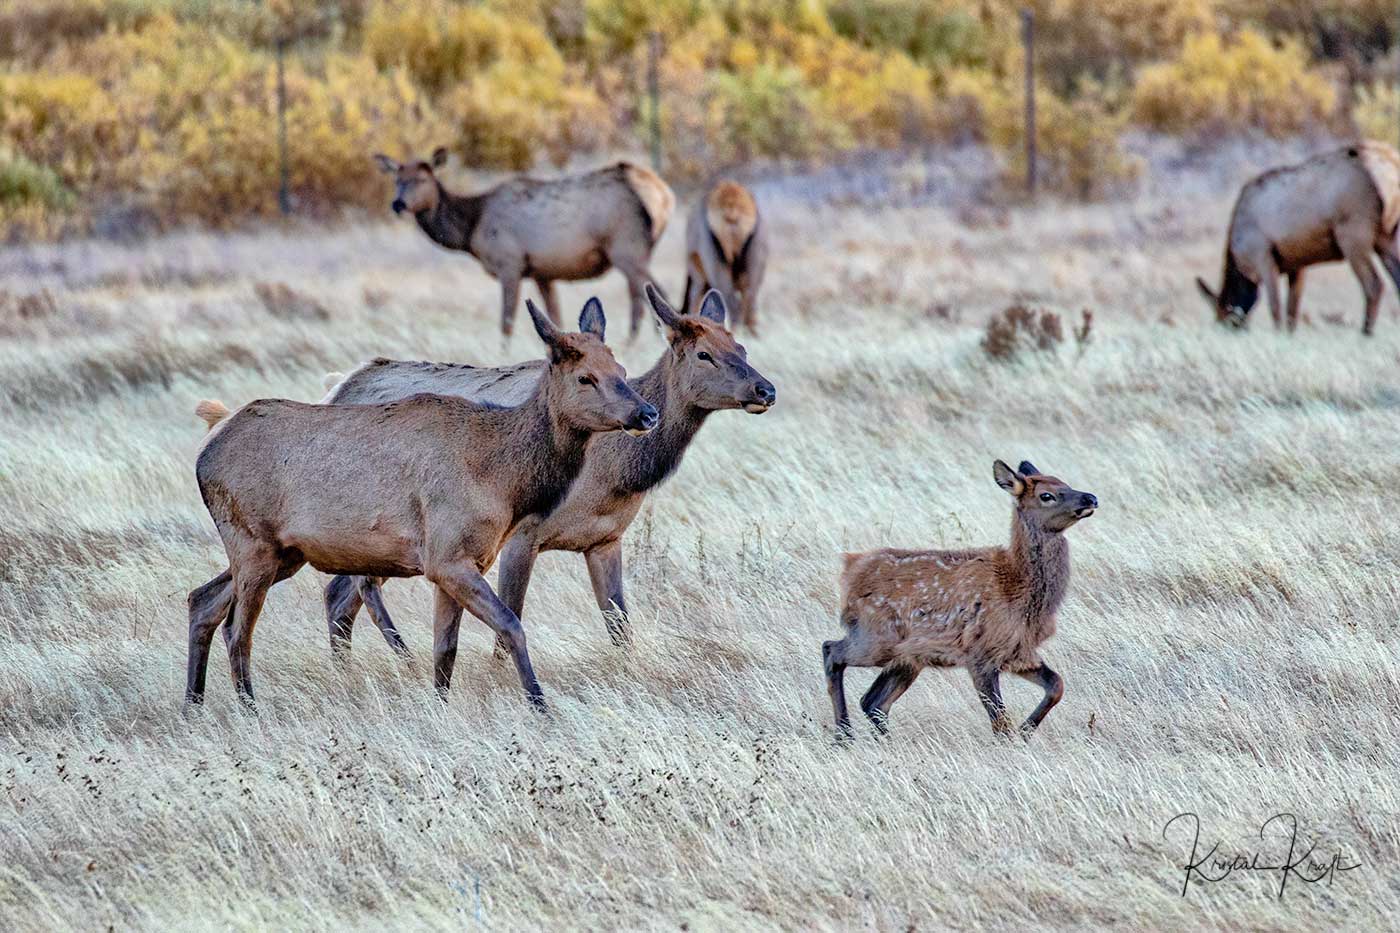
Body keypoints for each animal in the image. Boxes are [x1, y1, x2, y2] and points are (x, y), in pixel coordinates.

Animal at [316, 287, 778, 658]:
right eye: (704, 354)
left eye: (743, 349)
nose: (766, 389)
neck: (618, 475)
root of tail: (339, 386)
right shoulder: (522, 535)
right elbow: (508, 626)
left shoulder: (605, 539)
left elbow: (619, 627)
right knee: (350, 591)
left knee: (338, 594)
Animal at [375, 149, 674, 341]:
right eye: (397, 180)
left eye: (421, 179)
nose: (398, 203)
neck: (472, 229)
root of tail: (663, 196)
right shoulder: (543, 273)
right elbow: (555, 318)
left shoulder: (509, 263)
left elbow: (506, 323)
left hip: (627, 247)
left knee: (651, 296)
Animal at [677, 179, 767, 332]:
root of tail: (732, 207)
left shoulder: (698, 275)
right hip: (755, 262)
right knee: (749, 301)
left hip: (716, 266)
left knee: (735, 306)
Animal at [823, 462, 1097, 739]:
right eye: (1047, 495)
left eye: (1065, 483)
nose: (1091, 498)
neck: (1017, 588)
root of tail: (850, 571)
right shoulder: (980, 652)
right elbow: (1000, 721)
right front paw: (1015, 738)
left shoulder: (1017, 650)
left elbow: (1056, 685)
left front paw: (1026, 731)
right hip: (876, 637)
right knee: (831, 651)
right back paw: (844, 734)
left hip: (908, 656)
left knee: (873, 701)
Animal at [1192, 141, 1400, 334]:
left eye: (1223, 320)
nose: (1236, 331)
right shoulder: (1297, 264)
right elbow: (1292, 311)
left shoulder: (1262, 256)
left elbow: (1275, 307)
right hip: (1387, 237)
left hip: (1353, 234)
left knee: (1374, 285)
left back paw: (1365, 334)